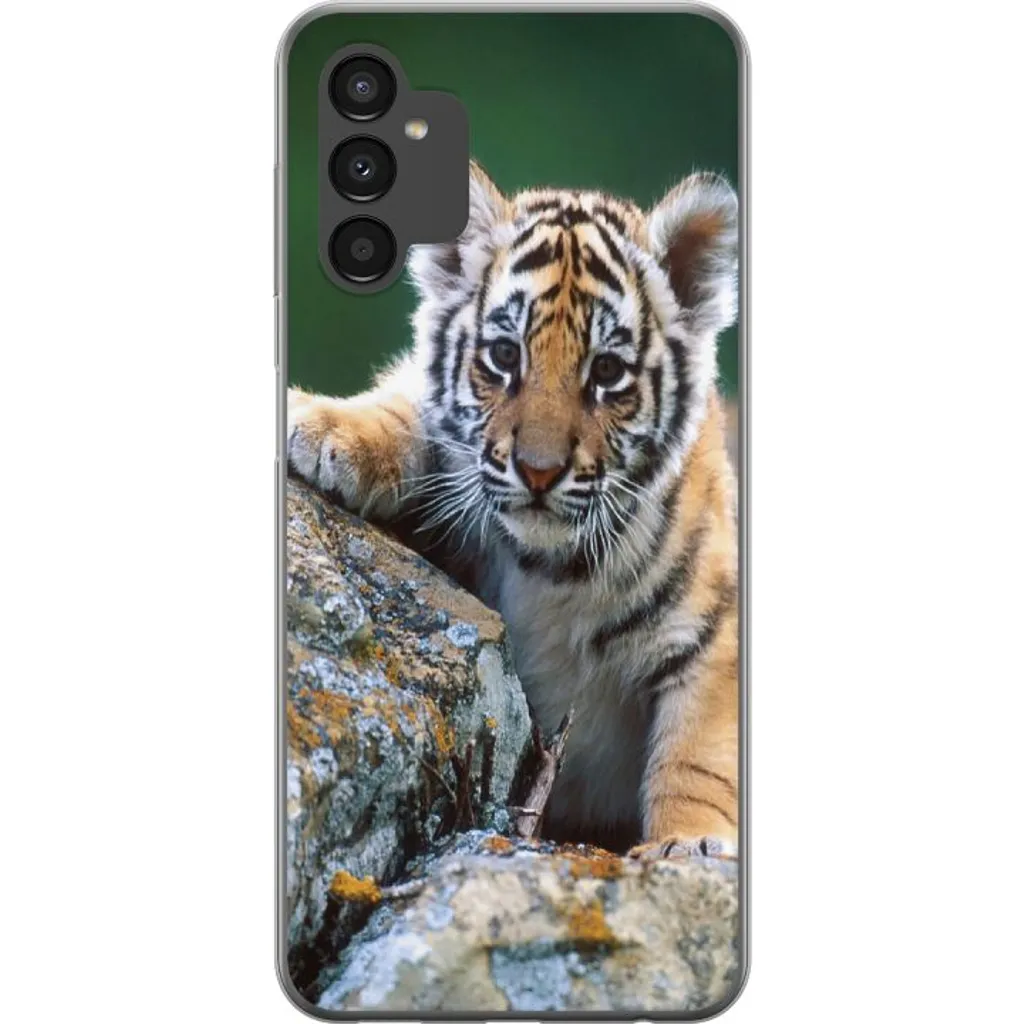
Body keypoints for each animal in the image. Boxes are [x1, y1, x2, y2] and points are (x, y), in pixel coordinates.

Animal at [287, 162, 740, 860]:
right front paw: (325, 427)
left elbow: (701, 753)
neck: (551, 570)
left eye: (607, 371)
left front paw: (686, 846)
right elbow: (411, 406)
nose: (539, 470)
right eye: (505, 356)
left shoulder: (716, 630)